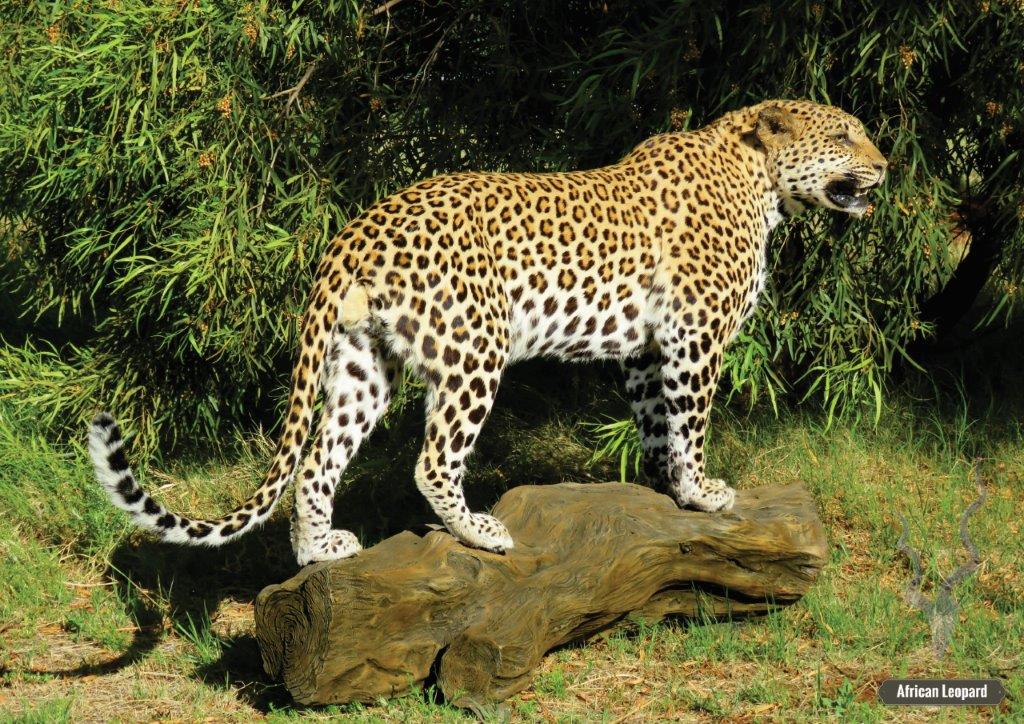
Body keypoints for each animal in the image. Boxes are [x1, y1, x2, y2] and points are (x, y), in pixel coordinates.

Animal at [89, 99, 887, 566]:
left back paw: (320, 551)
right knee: (432, 459)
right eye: (846, 134)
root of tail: (352, 229)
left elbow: (656, 422)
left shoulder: (644, 348)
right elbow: (690, 421)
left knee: (317, 459)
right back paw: (480, 532)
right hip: (476, 350)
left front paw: (665, 486)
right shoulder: (696, 335)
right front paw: (701, 493)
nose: (886, 165)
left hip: (363, 363)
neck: (760, 181)